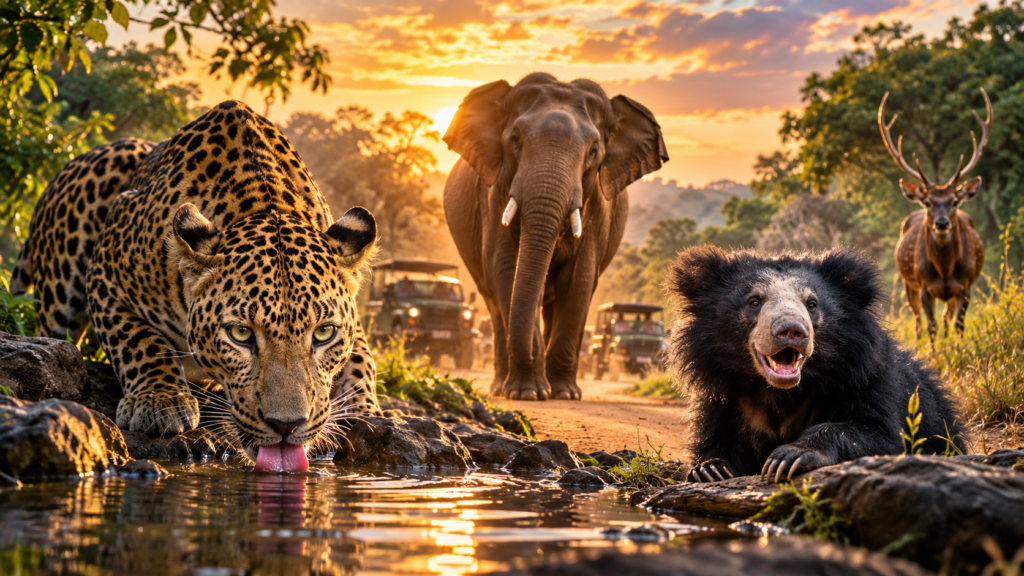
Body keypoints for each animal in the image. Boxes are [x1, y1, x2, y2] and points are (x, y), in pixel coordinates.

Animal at [442, 72, 668, 400]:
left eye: (593, 151)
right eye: (515, 140)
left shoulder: (597, 208)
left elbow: (578, 279)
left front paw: (564, 394)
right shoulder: (493, 195)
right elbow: (507, 269)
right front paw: (526, 394)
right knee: (494, 303)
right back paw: (501, 387)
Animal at [667, 246, 964, 483]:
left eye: (811, 304)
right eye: (754, 301)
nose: (791, 330)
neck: (778, 391)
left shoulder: (866, 376)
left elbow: (877, 432)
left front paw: (789, 457)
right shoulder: (723, 394)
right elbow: (717, 437)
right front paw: (709, 469)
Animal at [878, 89, 989, 344]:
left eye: (954, 201)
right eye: (928, 202)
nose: (941, 223)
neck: (945, 270)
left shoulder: (965, 286)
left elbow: (959, 324)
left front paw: (959, 350)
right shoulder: (924, 286)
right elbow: (931, 325)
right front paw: (933, 351)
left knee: (947, 318)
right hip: (908, 284)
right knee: (917, 320)